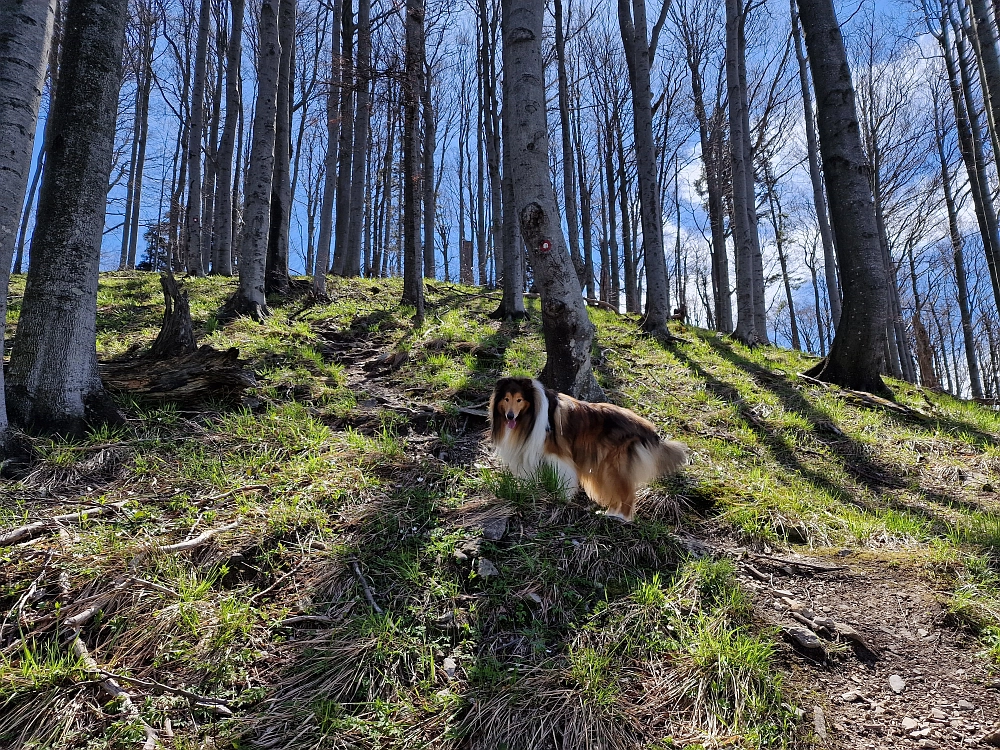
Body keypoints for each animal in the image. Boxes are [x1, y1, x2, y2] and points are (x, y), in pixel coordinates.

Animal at [486, 376, 688, 524]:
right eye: (506, 399)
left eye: (519, 399)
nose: (510, 416)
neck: (531, 416)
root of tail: (647, 427)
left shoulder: (557, 454)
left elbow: (563, 477)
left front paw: (563, 498)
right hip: (606, 467)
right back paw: (607, 513)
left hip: (614, 465)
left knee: (628, 494)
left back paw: (620, 517)